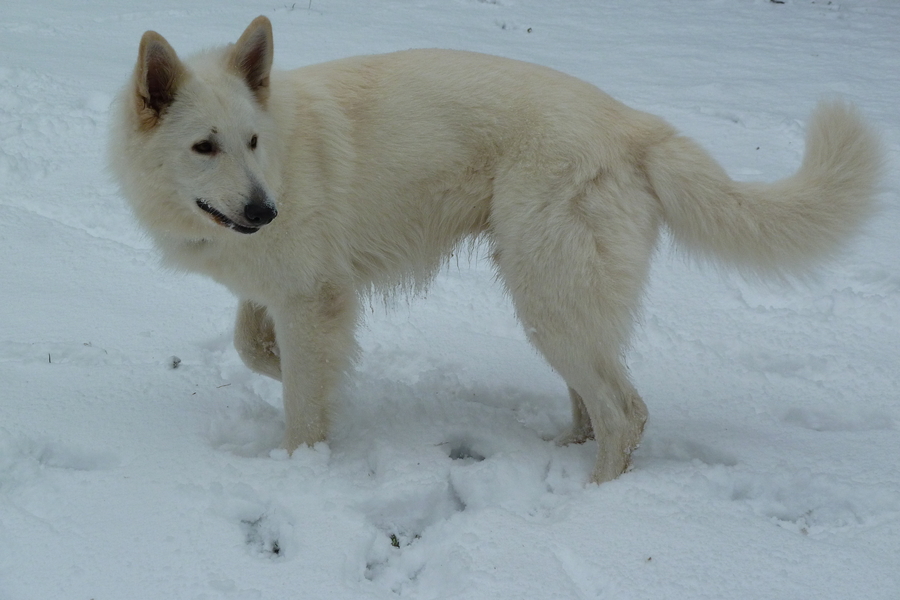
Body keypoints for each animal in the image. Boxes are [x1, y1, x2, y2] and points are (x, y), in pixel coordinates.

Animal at [109, 15, 884, 482]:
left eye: (251, 141)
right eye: (205, 146)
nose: (266, 210)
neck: (280, 157)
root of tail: (634, 124)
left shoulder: (312, 299)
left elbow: (301, 401)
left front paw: (304, 465)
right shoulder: (281, 291)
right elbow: (254, 349)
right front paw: (318, 383)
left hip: (547, 295)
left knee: (624, 411)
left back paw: (595, 499)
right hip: (554, 300)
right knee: (594, 400)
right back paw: (563, 453)